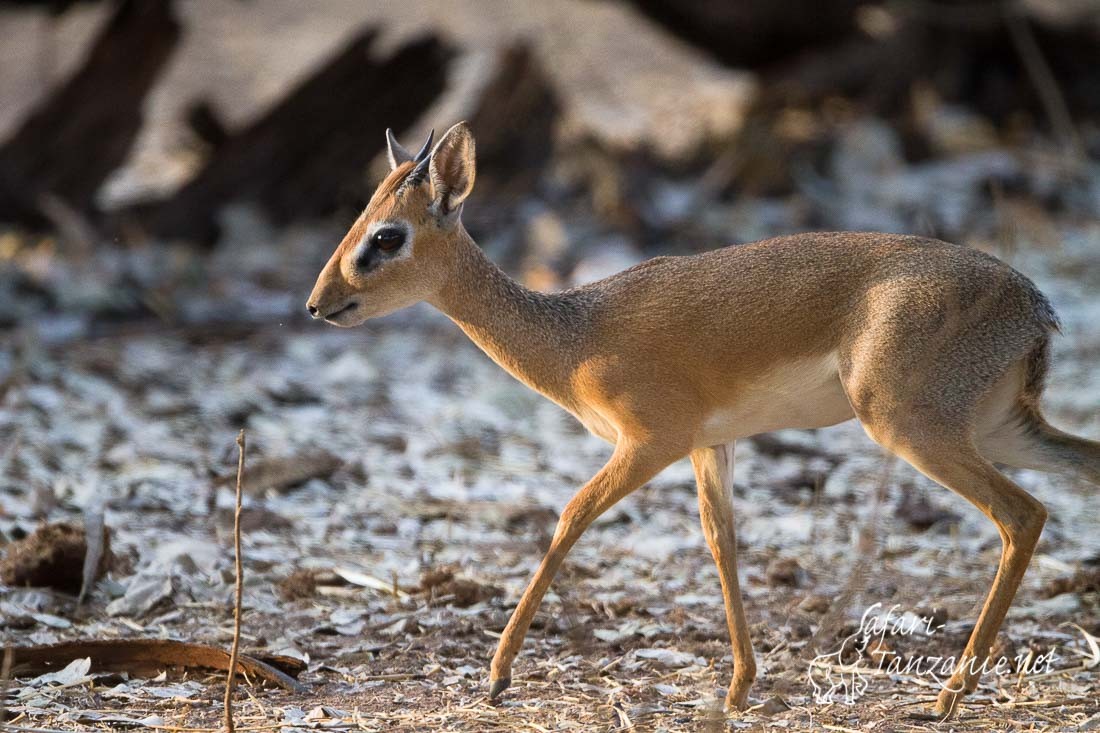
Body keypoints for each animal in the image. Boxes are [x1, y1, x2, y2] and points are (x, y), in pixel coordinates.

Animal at [308, 122, 1100, 717]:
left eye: (386, 237)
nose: (318, 304)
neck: (574, 335)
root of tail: (1034, 304)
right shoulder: (706, 447)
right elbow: (723, 543)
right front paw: (739, 688)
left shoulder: (648, 443)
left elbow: (569, 516)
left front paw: (498, 675)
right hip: (998, 428)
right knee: (1077, 470)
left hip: (911, 428)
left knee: (1023, 514)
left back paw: (947, 695)